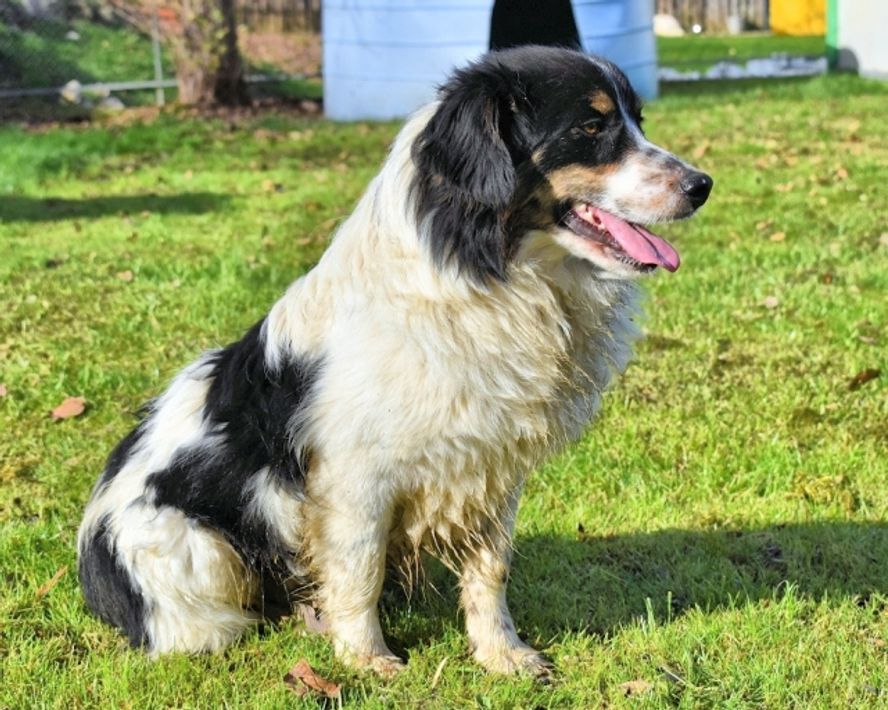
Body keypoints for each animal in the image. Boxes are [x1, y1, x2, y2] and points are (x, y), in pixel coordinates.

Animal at [78, 46, 711, 678]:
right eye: (592, 127)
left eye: (637, 120)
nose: (702, 185)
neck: (485, 276)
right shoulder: (354, 477)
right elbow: (359, 569)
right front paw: (367, 660)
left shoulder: (490, 467)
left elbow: (491, 570)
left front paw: (502, 654)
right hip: (194, 547)